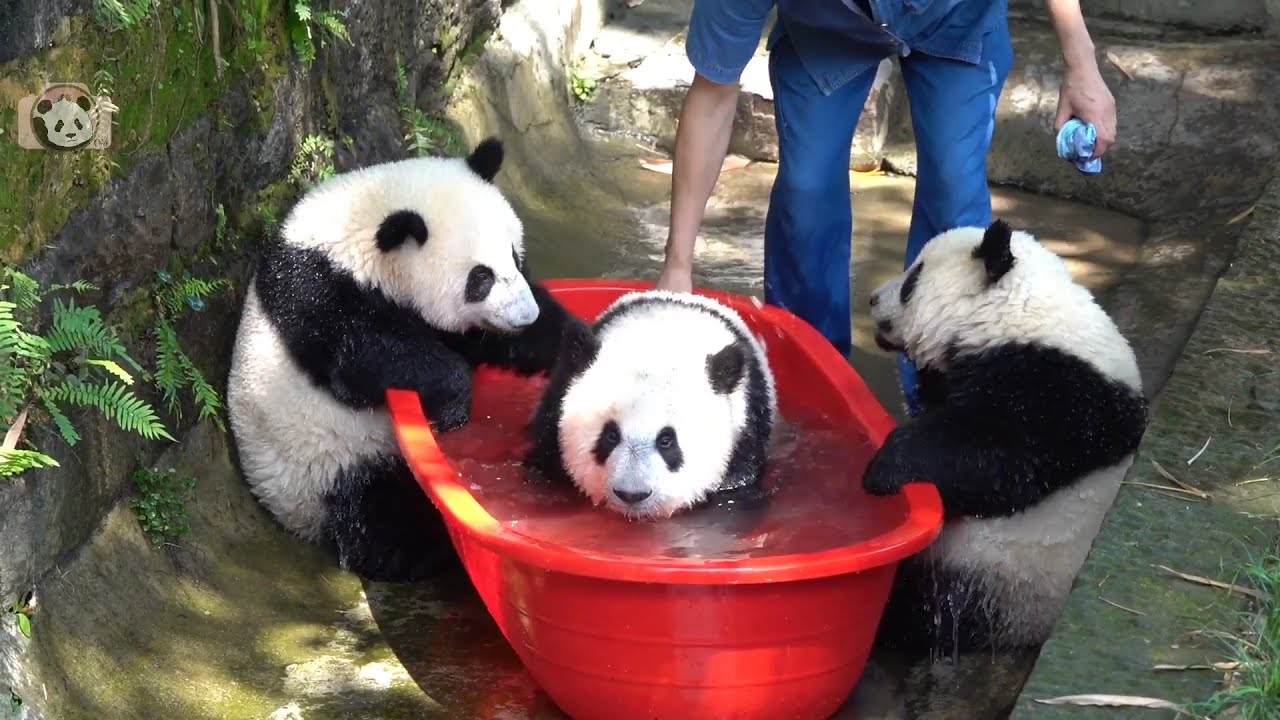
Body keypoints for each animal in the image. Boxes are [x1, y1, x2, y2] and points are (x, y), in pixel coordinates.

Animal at [225, 137, 582, 582]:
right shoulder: (323, 294)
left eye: (515, 257)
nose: (524, 315)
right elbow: (367, 357)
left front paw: (574, 342)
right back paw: (429, 544)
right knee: (376, 513)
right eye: (480, 278)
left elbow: (492, 342)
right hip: (328, 463)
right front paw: (453, 406)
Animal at [857, 218, 1149, 715]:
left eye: (913, 280)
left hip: (995, 576)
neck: (1018, 314)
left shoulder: (1056, 392)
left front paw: (885, 466)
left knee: (925, 610)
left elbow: (995, 462)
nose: (875, 299)